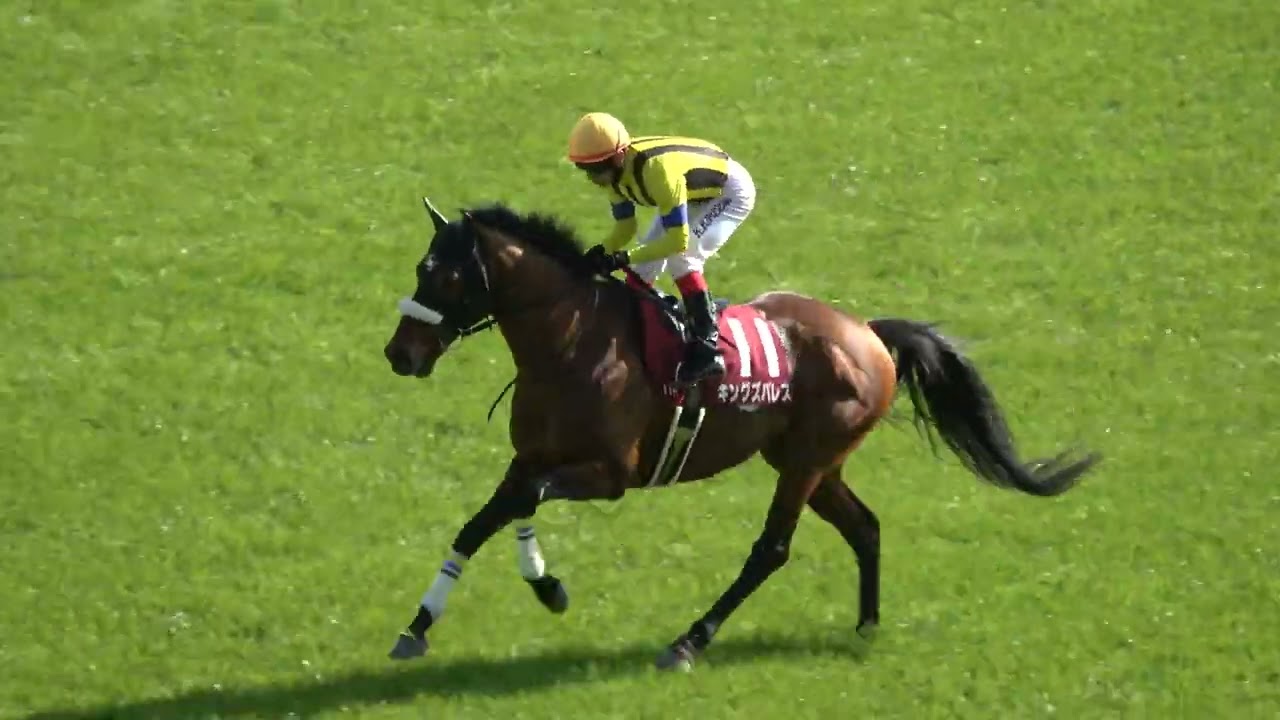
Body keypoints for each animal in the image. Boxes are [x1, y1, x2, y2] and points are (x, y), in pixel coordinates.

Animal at [381, 197, 1101, 671]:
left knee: (772, 550)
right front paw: (418, 627)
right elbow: (482, 521)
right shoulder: (528, 457)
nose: (399, 354)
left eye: (442, 275)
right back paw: (866, 626)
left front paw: (546, 585)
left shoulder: (610, 475)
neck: (568, 342)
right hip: (811, 461)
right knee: (864, 527)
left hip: (806, 461)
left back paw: (689, 641)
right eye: (419, 268)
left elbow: (522, 505)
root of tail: (869, 333)